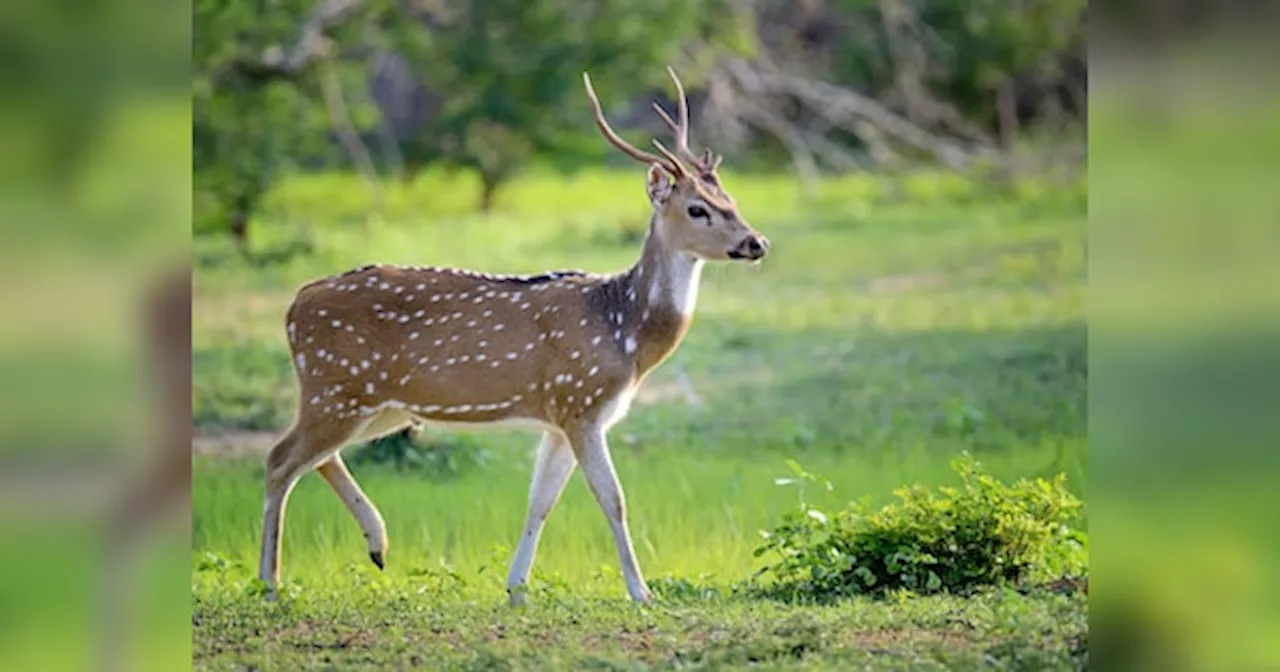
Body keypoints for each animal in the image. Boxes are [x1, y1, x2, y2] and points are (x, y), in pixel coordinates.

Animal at [254, 68, 762, 601]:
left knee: (311, 457)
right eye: (697, 209)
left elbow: (540, 500)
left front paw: (517, 587)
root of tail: (294, 306)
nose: (756, 242)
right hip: (336, 388)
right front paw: (641, 593)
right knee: (279, 458)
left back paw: (377, 545)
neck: (624, 330)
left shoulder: (560, 417)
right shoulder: (581, 402)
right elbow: (613, 498)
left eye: (732, 200)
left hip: (375, 402)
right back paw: (271, 580)